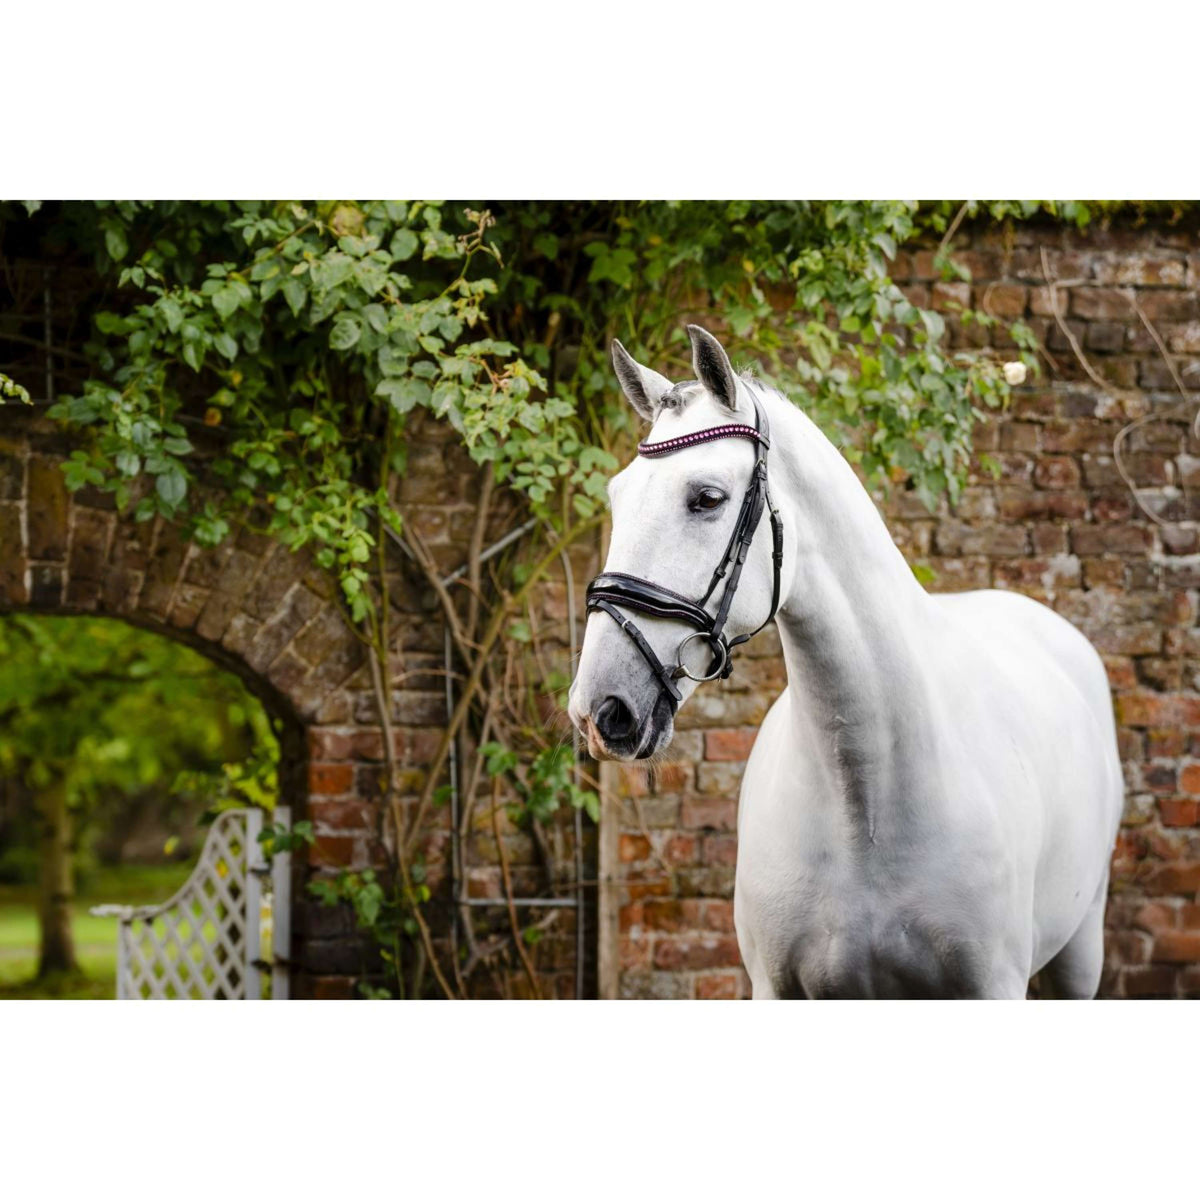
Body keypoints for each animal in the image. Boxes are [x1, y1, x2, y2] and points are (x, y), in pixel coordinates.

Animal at [568, 324, 1123, 999]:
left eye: (706, 497)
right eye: (616, 498)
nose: (599, 709)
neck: (866, 801)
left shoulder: (992, 986)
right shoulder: (775, 988)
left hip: (1081, 951)